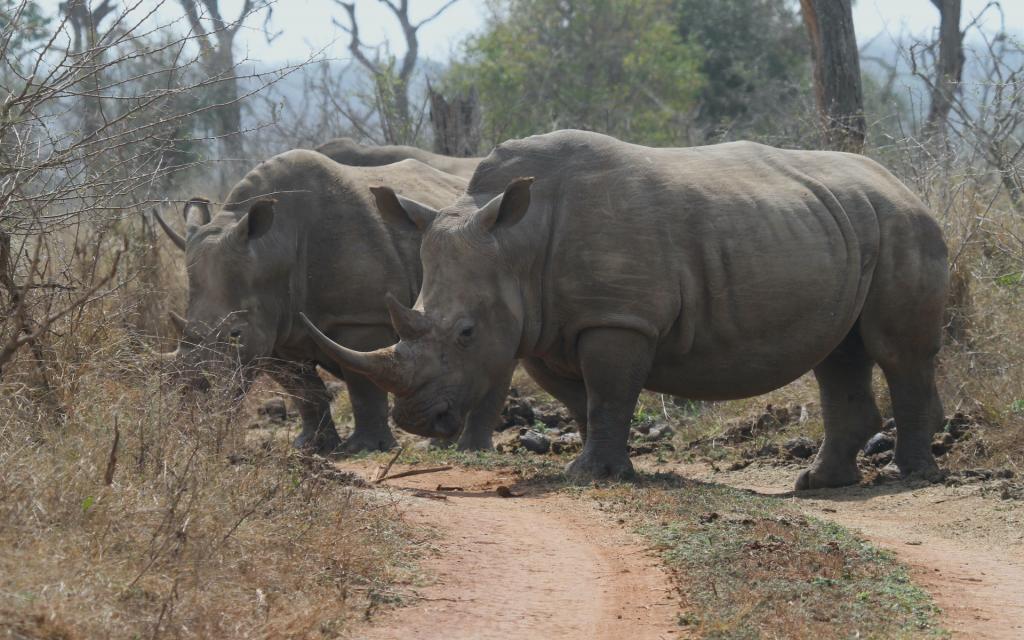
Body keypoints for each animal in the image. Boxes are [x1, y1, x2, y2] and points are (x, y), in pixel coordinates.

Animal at [152, 147, 503, 452]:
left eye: (235, 334)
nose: (194, 398)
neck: (274, 246)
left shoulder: (361, 317)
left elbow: (363, 386)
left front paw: (366, 448)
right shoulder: (276, 327)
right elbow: (303, 389)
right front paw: (311, 446)